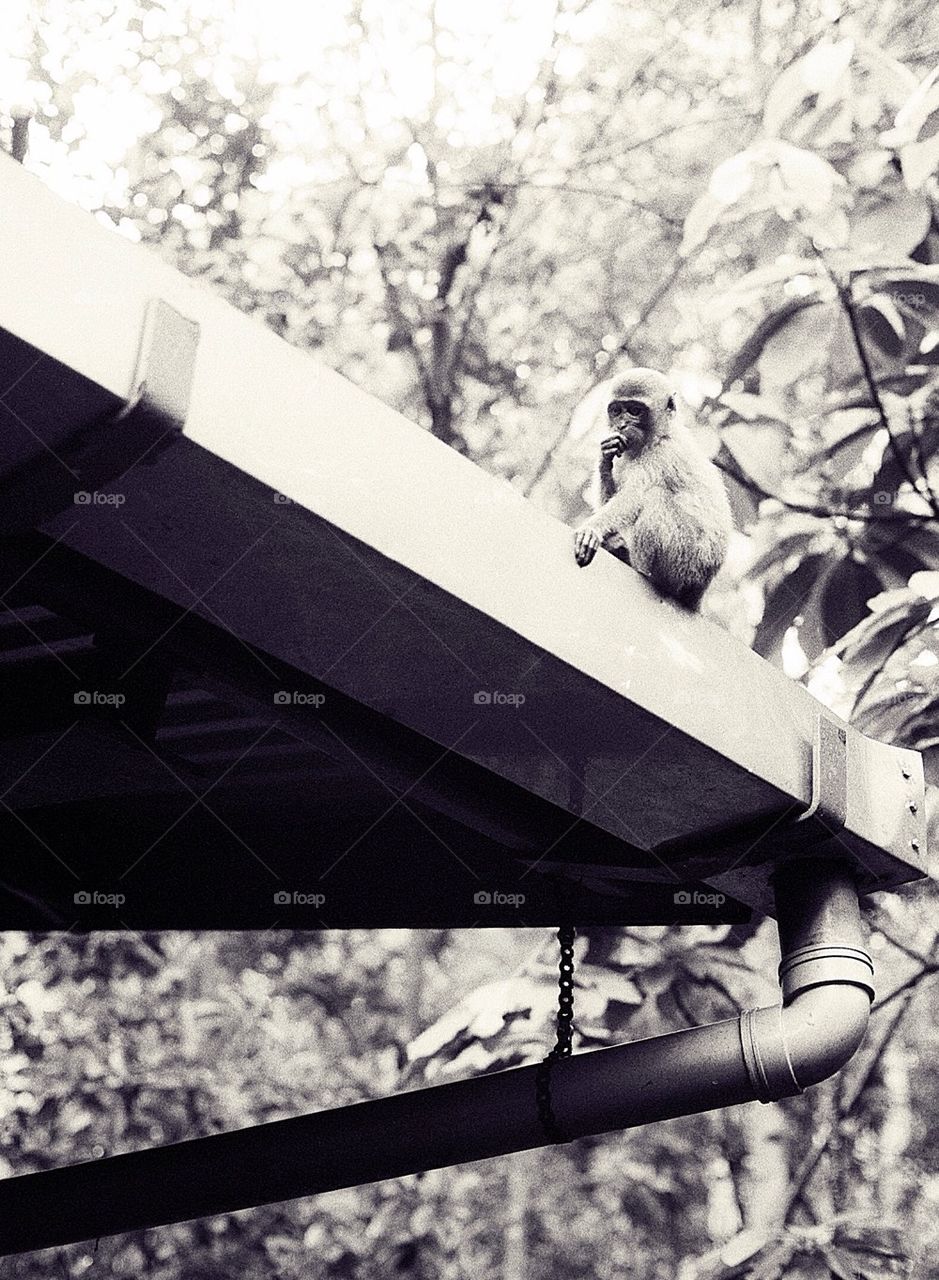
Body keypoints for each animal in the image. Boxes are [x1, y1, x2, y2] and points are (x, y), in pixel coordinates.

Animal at [573, 368, 732, 609]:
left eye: (635, 411)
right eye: (616, 411)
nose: (622, 425)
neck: (658, 437)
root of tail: (698, 592)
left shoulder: (661, 456)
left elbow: (632, 497)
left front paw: (591, 530)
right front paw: (604, 458)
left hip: (685, 564)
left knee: (656, 496)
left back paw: (640, 568)